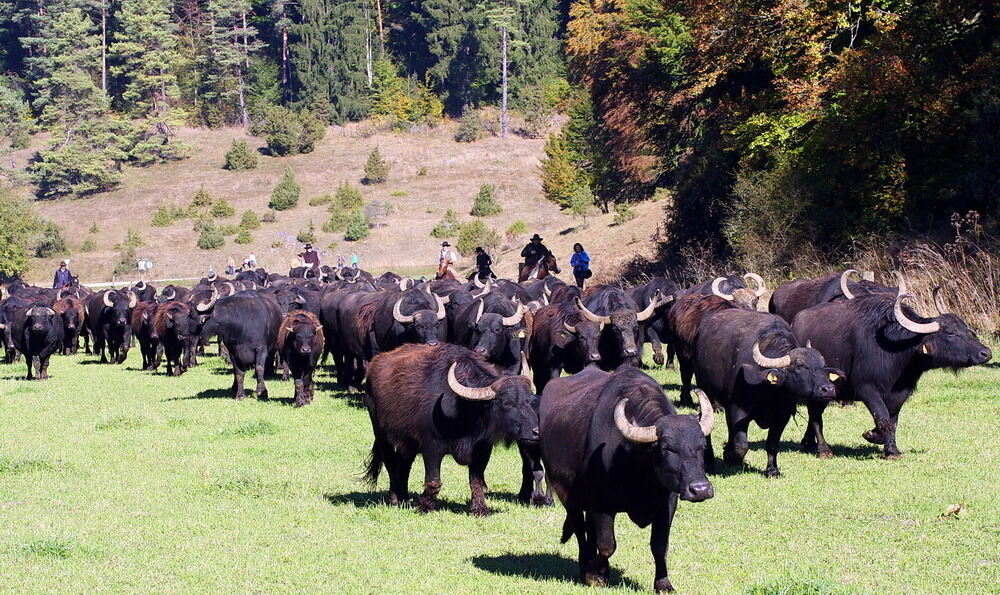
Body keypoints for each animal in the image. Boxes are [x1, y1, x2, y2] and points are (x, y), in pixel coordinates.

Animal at [366, 344, 544, 516]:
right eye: (508, 403)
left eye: (530, 400)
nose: (537, 431)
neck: (464, 411)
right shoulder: (431, 447)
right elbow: (434, 481)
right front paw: (424, 506)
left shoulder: (482, 449)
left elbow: (476, 481)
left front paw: (480, 508)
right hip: (381, 435)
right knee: (390, 463)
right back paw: (395, 498)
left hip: (408, 443)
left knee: (404, 464)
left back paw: (403, 497)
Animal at [544, 368, 716, 592]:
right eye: (666, 448)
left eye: (702, 445)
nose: (700, 489)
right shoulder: (602, 505)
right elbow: (607, 545)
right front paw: (595, 575)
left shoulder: (667, 503)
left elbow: (659, 545)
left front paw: (663, 584)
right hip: (566, 495)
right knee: (580, 530)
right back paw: (585, 567)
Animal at [692, 304, 840, 478]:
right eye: (799, 366)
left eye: (823, 366)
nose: (828, 389)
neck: (769, 389)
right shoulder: (739, 409)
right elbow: (741, 445)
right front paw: (733, 457)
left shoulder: (782, 415)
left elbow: (772, 444)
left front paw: (773, 470)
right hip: (706, 391)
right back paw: (709, 461)